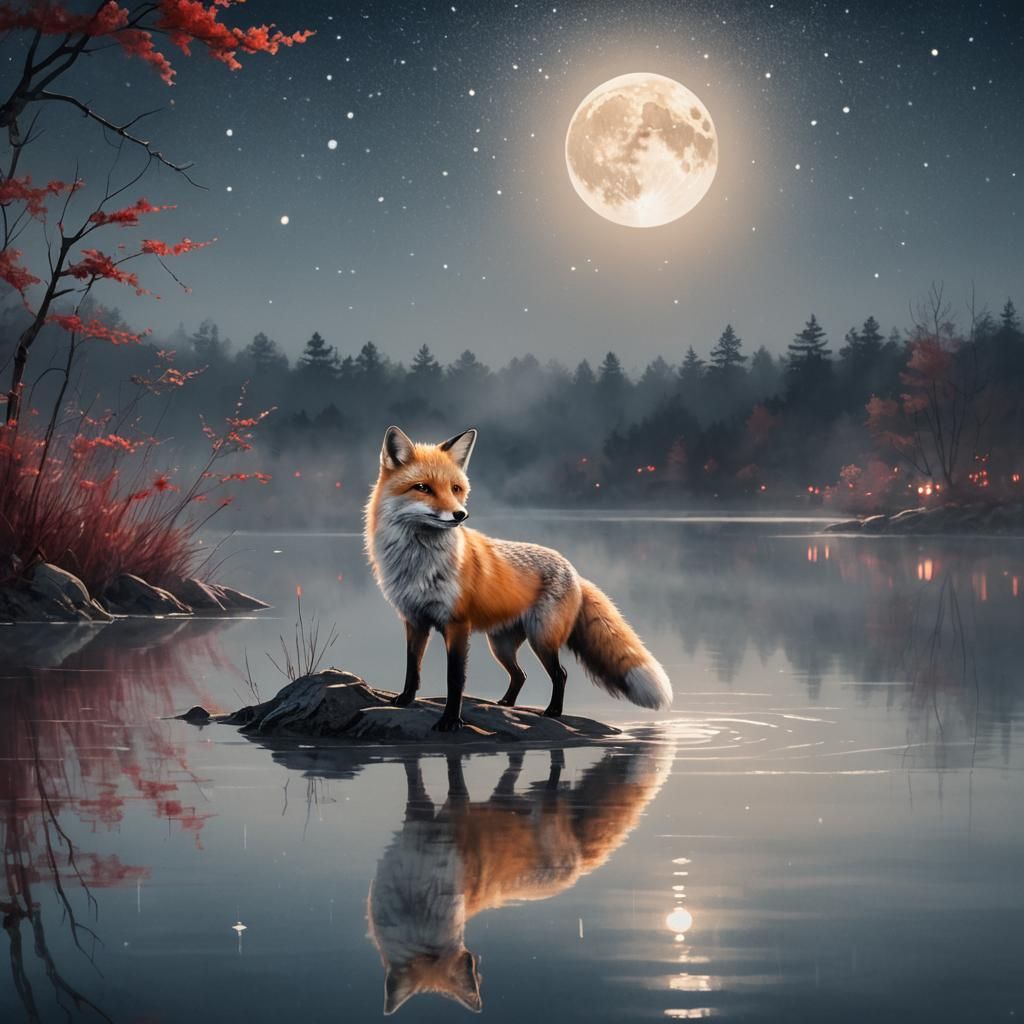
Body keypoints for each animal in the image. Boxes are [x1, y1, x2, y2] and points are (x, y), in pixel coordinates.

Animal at [364, 425, 673, 731]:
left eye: (455, 489)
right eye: (422, 488)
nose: (460, 515)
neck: (418, 564)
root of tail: (574, 570)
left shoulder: (457, 624)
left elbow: (455, 680)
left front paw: (450, 720)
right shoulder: (414, 620)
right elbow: (412, 668)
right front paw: (405, 700)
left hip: (541, 639)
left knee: (560, 674)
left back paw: (552, 712)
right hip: (501, 645)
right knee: (521, 674)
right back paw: (506, 705)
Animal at [368, 745, 672, 1014]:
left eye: (477, 970)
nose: (479, 966)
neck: (418, 904)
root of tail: (580, 862)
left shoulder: (454, 811)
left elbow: (451, 782)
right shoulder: (417, 820)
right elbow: (413, 777)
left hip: (537, 806)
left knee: (541, 779)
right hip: (505, 799)